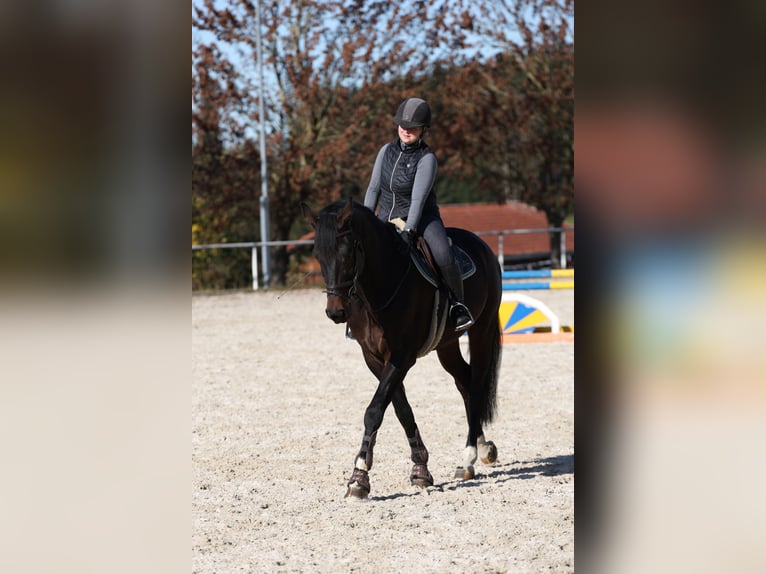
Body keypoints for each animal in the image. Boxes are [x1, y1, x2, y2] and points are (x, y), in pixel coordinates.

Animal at [304, 201, 508, 500]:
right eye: (318, 255)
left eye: (347, 253)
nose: (336, 312)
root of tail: (481, 245)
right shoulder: (374, 358)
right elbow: (401, 409)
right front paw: (420, 468)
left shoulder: (402, 356)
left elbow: (375, 410)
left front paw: (359, 475)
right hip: (447, 345)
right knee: (465, 382)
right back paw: (481, 450)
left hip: (481, 331)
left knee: (477, 381)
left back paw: (469, 455)